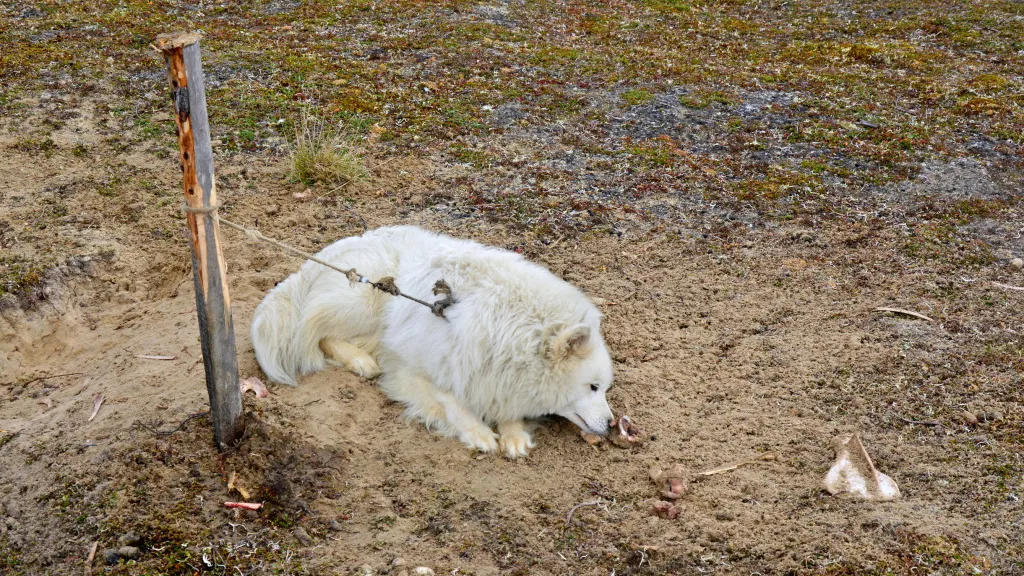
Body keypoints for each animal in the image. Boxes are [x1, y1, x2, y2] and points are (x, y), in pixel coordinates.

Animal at [250, 226, 610, 455]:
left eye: (605, 389)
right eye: (593, 387)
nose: (610, 424)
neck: (516, 326)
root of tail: (318, 258)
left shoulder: (498, 375)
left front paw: (514, 434)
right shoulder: (413, 367)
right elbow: (450, 401)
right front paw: (480, 433)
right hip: (366, 300)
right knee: (317, 332)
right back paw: (360, 361)